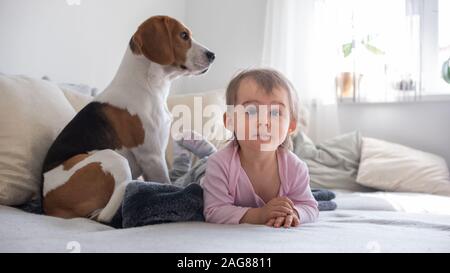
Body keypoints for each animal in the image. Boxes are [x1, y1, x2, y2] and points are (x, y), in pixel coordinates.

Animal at [40, 15, 214, 223]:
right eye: (183, 35)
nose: (212, 55)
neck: (147, 85)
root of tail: (47, 206)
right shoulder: (153, 156)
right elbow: (164, 182)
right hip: (112, 157)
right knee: (104, 216)